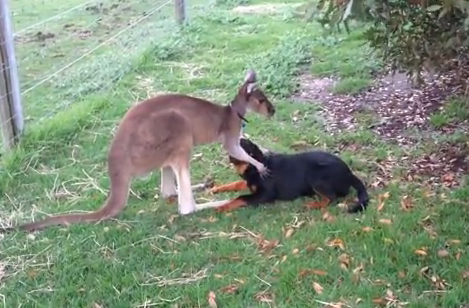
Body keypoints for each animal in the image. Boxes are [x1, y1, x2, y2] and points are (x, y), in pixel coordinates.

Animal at [209, 138, 370, 213]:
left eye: (244, 147)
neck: (254, 167)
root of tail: (349, 173)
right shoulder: (249, 183)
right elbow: (235, 184)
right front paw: (217, 188)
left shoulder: (265, 194)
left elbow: (241, 197)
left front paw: (222, 207)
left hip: (316, 177)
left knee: (332, 197)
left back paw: (312, 205)